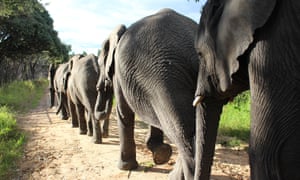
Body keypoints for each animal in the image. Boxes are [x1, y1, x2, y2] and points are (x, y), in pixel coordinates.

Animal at [94, 8, 213, 180]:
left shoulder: (119, 74)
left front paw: (126, 167)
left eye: (99, 63)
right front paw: (161, 153)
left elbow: (124, 112)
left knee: (183, 132)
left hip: (165, 77)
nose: (100, 86)